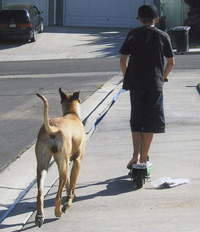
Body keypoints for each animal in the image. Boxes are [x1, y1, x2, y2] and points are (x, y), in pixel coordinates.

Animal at [35, 88, 85, 227]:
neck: (72, 113)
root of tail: (53, 128)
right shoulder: (77, 161)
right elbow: (72, 185)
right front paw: (69, 202)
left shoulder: (66, 163)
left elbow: (69, 184)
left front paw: (69, 199)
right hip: (62, 166)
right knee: (58, 194)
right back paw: (58, 211)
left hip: (43, 166)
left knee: (40, 193)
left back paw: (40, 216)